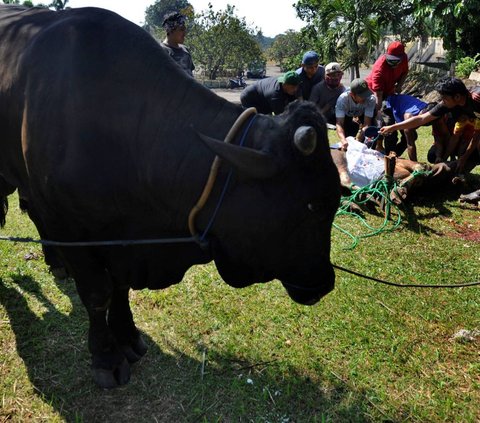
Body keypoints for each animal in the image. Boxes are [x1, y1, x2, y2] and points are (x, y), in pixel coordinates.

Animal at [0, 5, 342, 390]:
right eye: (313, 206)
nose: (325, 283)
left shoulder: (123, 241)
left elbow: (119, 288)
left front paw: (128, 335)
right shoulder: (72, 229)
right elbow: (97, 293)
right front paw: (105, 357)